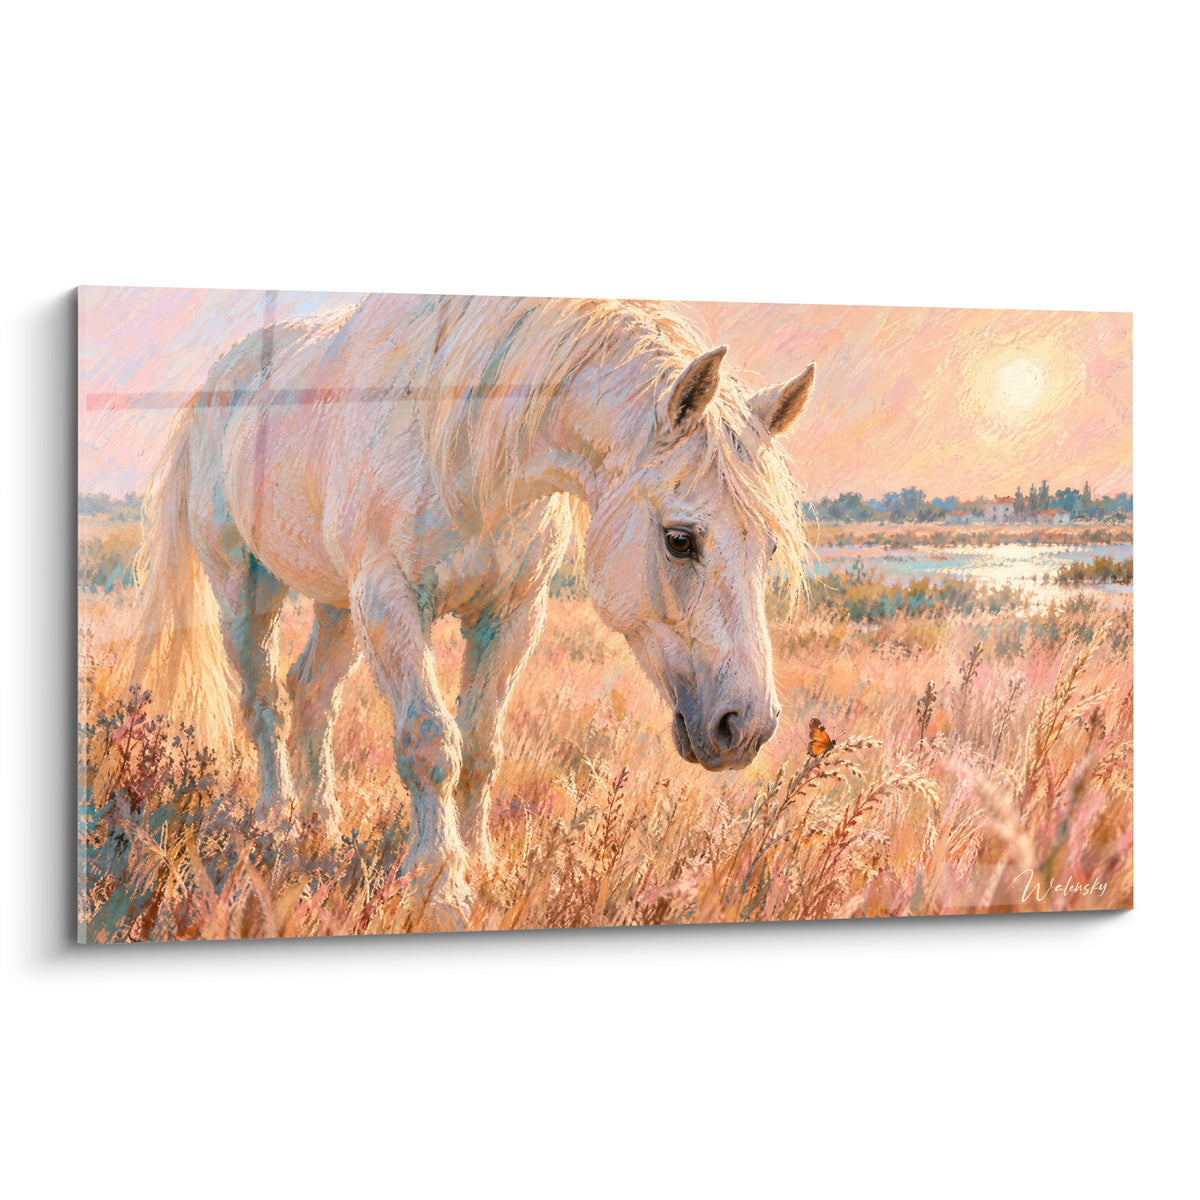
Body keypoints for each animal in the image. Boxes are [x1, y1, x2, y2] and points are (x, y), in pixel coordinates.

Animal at [129, 293, 815, 915]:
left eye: (769, 547)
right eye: (679, 540)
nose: (746, 728)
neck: (468, 450)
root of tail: (219, 380)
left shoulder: (511, 614)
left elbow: (482, 746)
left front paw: (482, 866)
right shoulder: (390, 599)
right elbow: (432, 744)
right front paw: (439, 885)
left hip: (339, 606)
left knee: (311, 694)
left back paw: (320, 826)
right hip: (248, 589)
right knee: (264, 700)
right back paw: (274, 822)